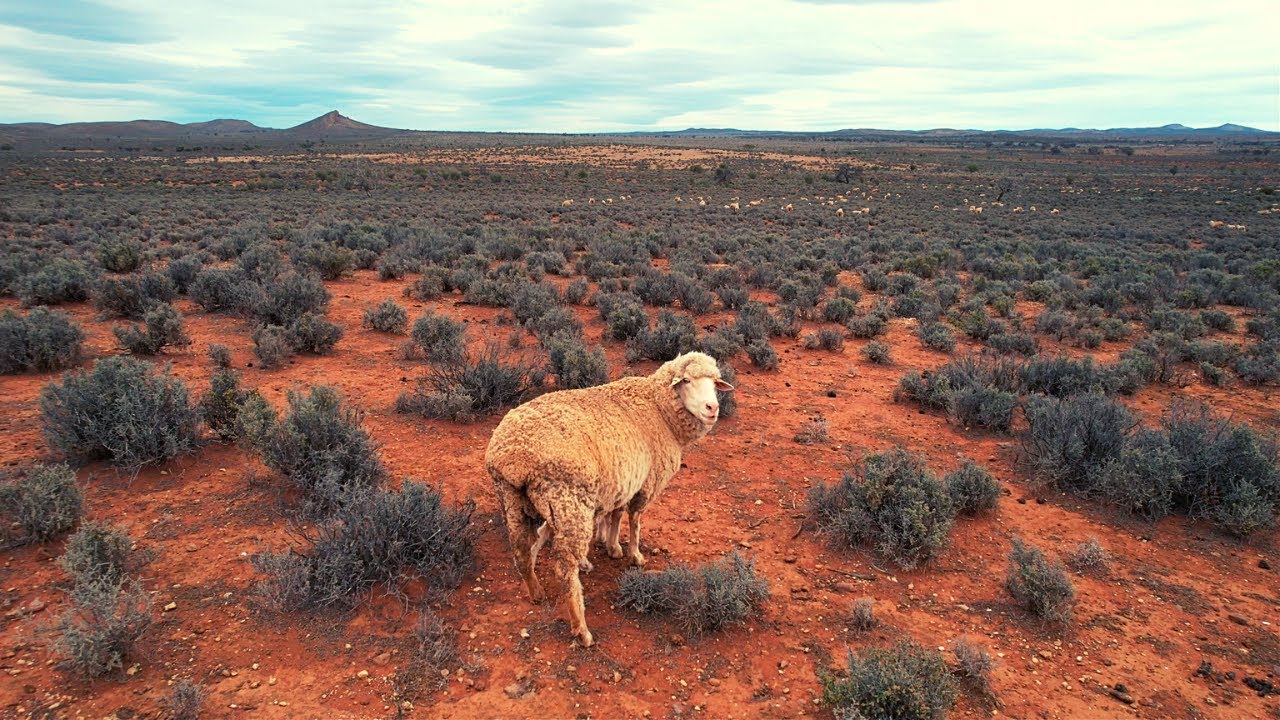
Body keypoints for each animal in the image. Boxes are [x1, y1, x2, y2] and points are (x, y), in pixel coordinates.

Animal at [486, 352, 733, 647]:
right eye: (685, 380)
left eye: (715, 383)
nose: (712, 408)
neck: (658, 410)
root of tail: (514, 457)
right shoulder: (646, 483)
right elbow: (635, 520)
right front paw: (634, 555)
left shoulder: (620, 480)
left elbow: (614, 514)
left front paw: (610, 544)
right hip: (569, 501)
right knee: (565, 568)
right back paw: (581, 630)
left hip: (512, 500)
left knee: (523, 550)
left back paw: (535, 590)